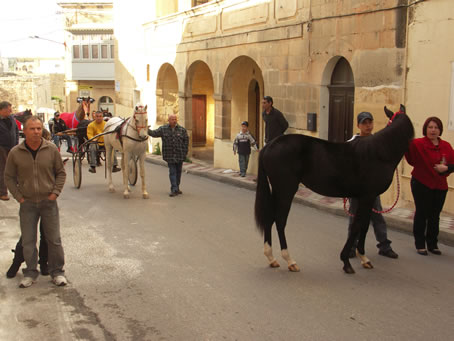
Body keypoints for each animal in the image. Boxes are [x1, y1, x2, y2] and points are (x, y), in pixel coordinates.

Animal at [254, 105, 414, 272]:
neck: (379, 152)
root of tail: (269, 146)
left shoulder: (364, 197)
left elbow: (363, 225)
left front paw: (363, 258)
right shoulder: (367, 196)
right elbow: (358, 225)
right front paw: (347, 261)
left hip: (277, 191)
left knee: (269, 218)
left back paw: (271, 258)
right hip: (286, 190)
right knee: (280, 220)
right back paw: (290, 260)